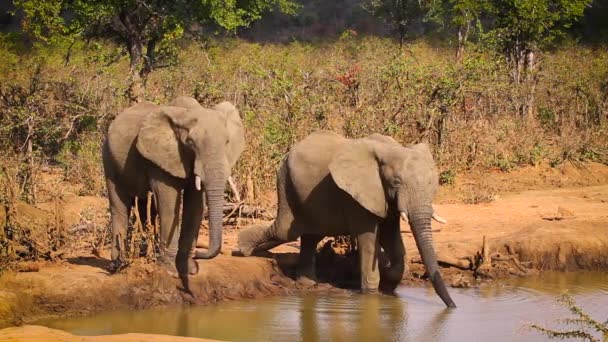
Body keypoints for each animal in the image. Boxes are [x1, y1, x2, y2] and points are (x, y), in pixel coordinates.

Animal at [102, 95, 245, 276]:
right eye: (190, 142)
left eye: (227, 142)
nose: (199, 254)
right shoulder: (161, 157)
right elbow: (169, 205)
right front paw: (171, 270)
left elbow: (196, 207)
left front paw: (189, 269)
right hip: (108, 157)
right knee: (119, 206)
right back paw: (118, 265)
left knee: (145, 205)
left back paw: (145, 255)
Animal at [238, 130, 456, 308]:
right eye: (396, 182)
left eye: (433, 184)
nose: (453, 307)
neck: (390, 150)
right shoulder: (357, 196)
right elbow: (368, 240)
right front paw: (371, 295)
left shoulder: (385, 199)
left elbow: (392, 239)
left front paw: (388, 285)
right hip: (284, 180)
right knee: (286, 231)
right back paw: (243, 249)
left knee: (311, 235)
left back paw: (307, 283)